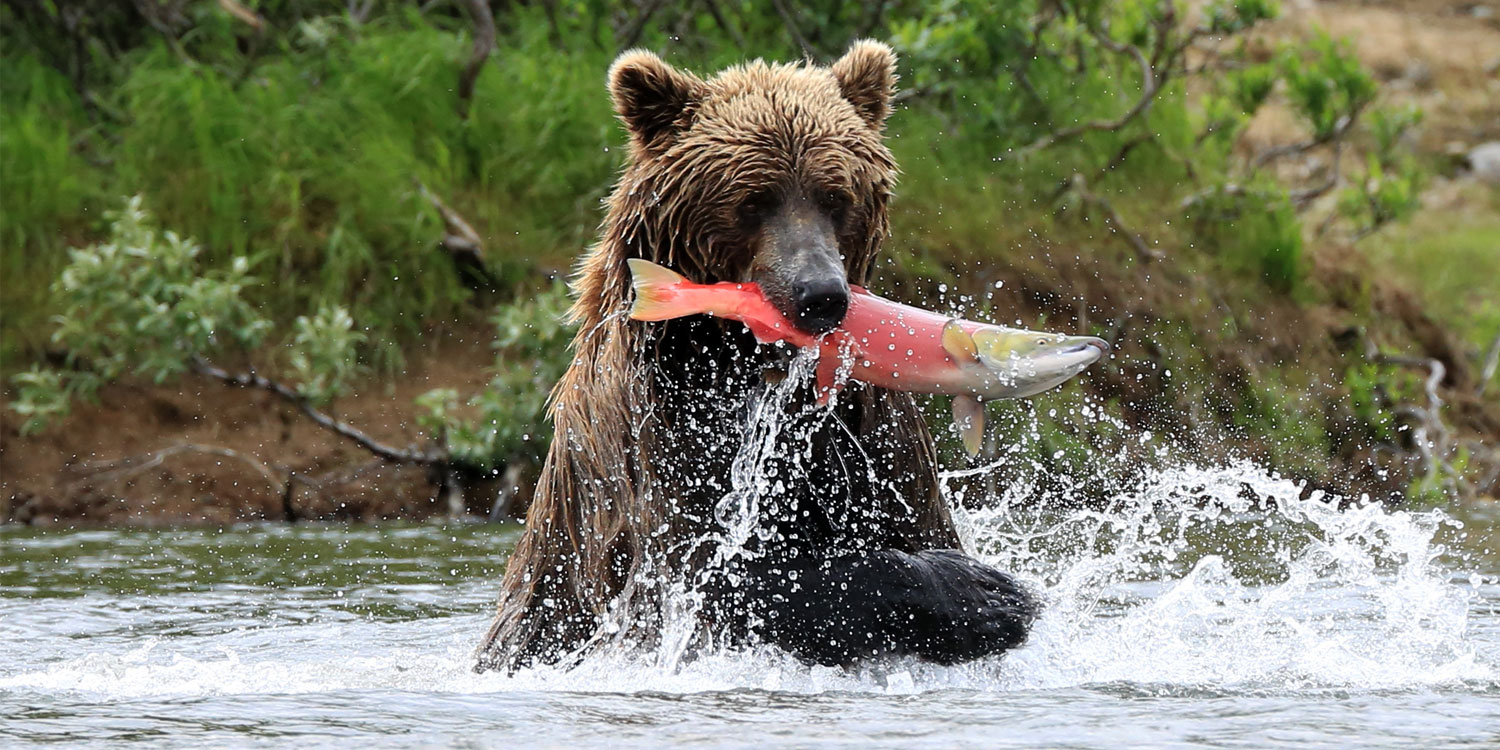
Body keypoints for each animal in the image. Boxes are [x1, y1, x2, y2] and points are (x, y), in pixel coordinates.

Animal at [474, 41, 1038, 675]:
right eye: (752, 200)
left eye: (836, 196)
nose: (820, 294)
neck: (744, 361)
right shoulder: (657, 438)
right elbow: (720, 578)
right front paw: (986, 594)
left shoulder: (866, 432)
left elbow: (910, 516)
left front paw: (992, 592)